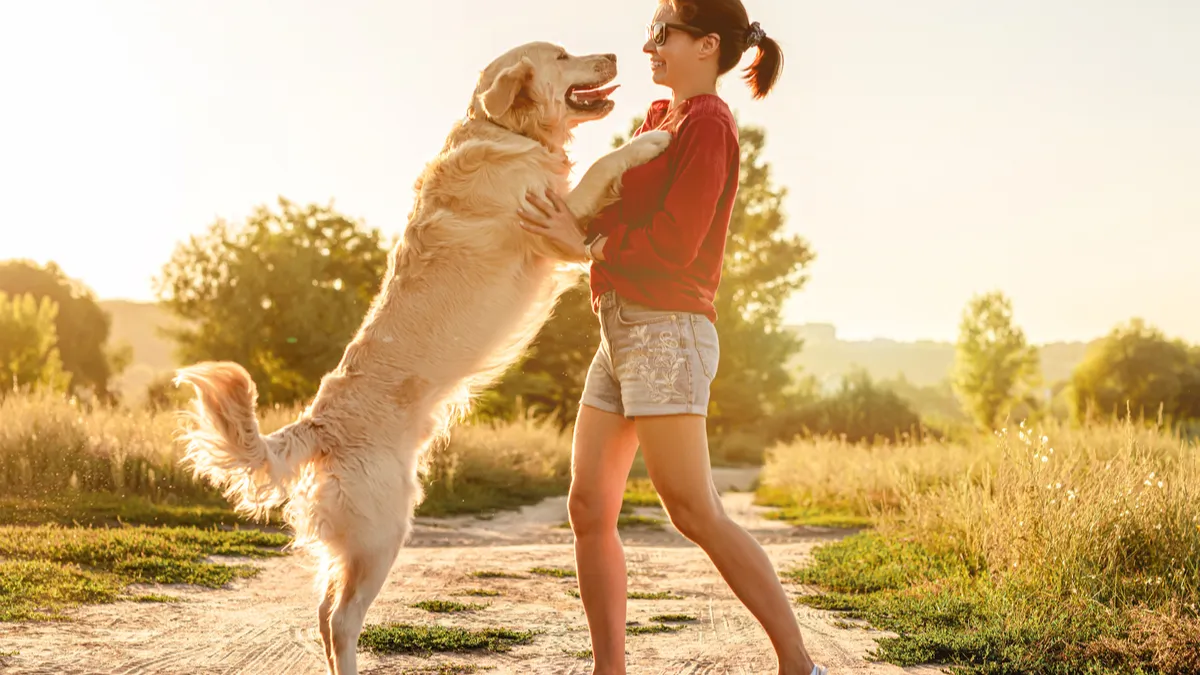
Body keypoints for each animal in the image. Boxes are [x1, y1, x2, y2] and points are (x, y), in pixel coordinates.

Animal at [174, 42, 672, 672]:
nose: (611, 52)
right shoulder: (550, 219)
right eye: (562, 55)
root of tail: (316, 425)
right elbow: (602, 168)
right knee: (341, 618)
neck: (505, 131)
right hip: (383, 530)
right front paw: (647, 142)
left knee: (322, 612)